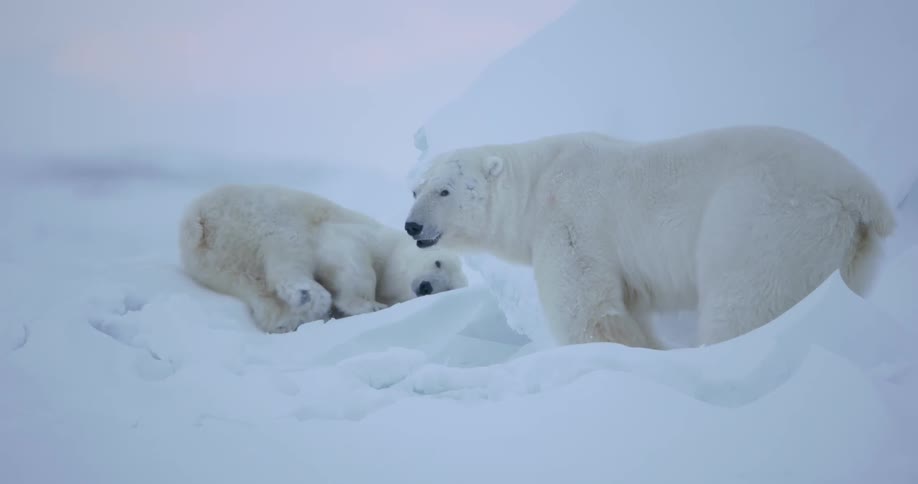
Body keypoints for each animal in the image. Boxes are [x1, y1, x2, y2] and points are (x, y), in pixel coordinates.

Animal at [179, 184, 468, 333]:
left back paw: (293, 312)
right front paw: (369, 305)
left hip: (218, 260)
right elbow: (350, 258)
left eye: (448, 288)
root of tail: (197, 216)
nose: (426, 287)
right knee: (289, 250)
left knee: (252, 284)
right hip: (264, 216)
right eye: (438, 263)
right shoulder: (354, 235)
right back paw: (310, 295)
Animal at [404, 125, 896, 349]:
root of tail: (859, 192)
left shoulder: (570, 224)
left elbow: (587, 310)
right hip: (849, 248)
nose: (412, 227)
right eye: (415, 189)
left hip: (763, 219)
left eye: (444, 190)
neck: (536, 184)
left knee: (747, 302)